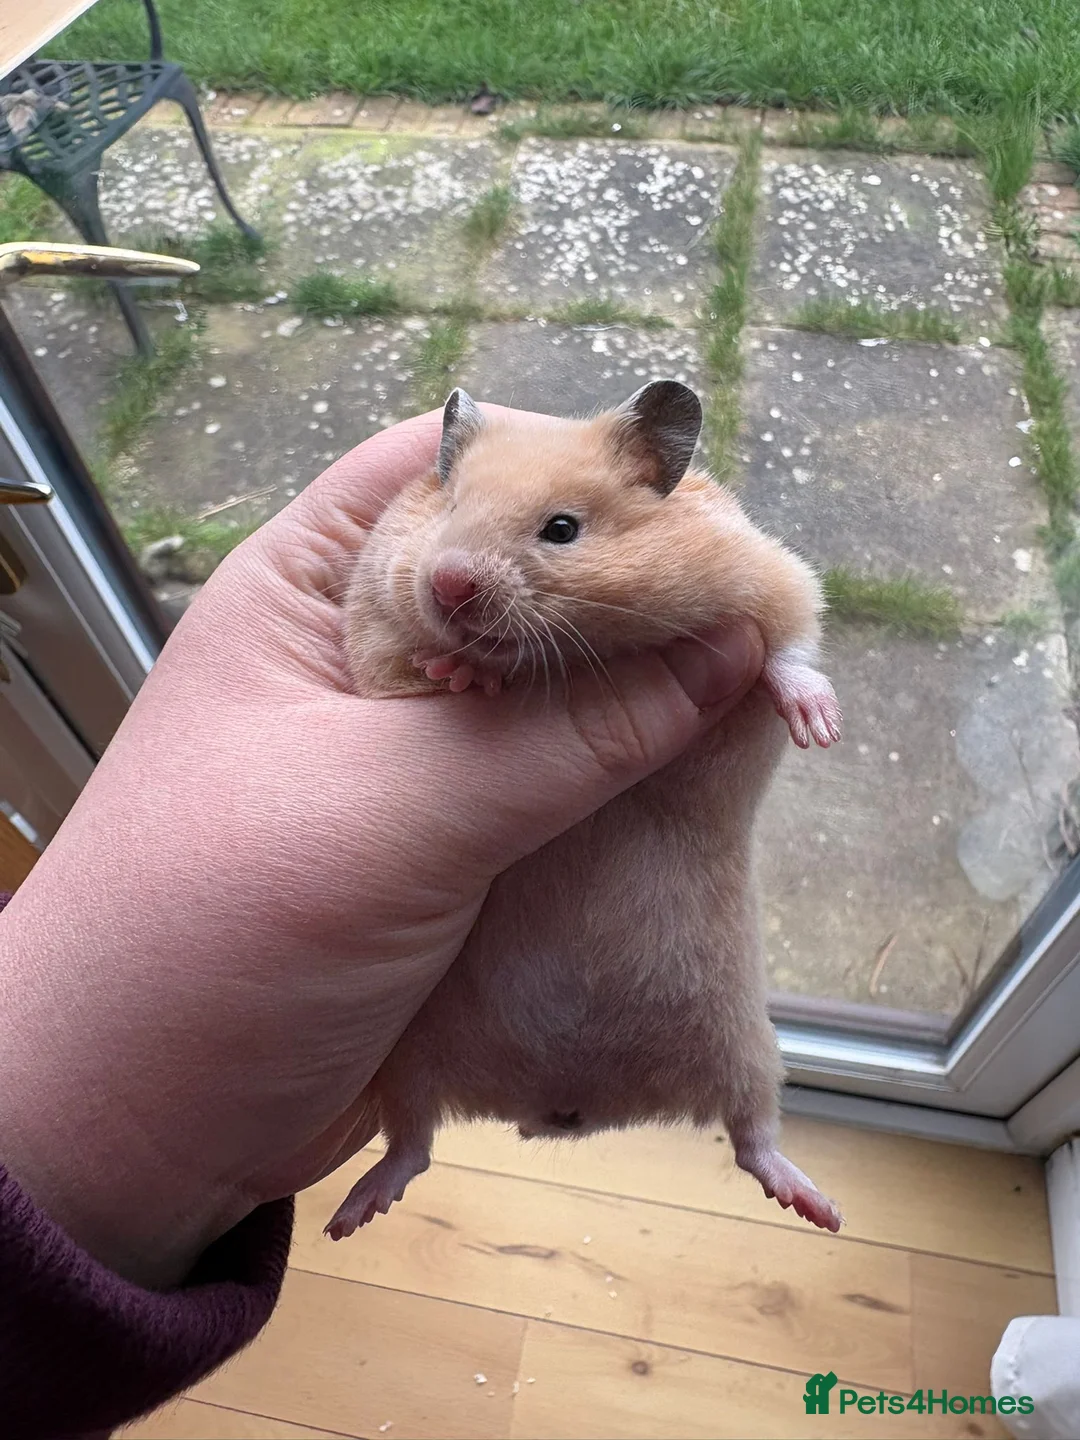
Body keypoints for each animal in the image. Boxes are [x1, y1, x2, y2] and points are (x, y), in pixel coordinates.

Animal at [329, 380, 843, 1240]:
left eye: (562, 529)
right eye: (449, 508)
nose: (449, 585)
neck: (582, 653)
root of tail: (567, 1108)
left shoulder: (772, 584)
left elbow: (786, 653)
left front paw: (819, 728)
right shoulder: (379, 642)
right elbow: (418, 669)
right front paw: (466, 674)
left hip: (746, 1042)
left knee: (753, 1137)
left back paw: (821, 1209)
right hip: (407, 1058)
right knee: (412, 1145)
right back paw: (350, 1216)